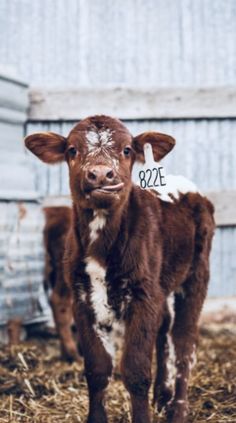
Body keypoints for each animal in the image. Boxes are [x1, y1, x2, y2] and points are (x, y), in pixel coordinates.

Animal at [24, 116, 215, 423]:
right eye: (72, 150)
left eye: (127, 150)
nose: (101, 174)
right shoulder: (84, 297)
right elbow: (97, 368)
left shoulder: (143, 295)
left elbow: (136, 371)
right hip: (160, 284)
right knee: (164, 327)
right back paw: (162, 396)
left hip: (197, 274)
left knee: (185, 342)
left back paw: (177, 409)